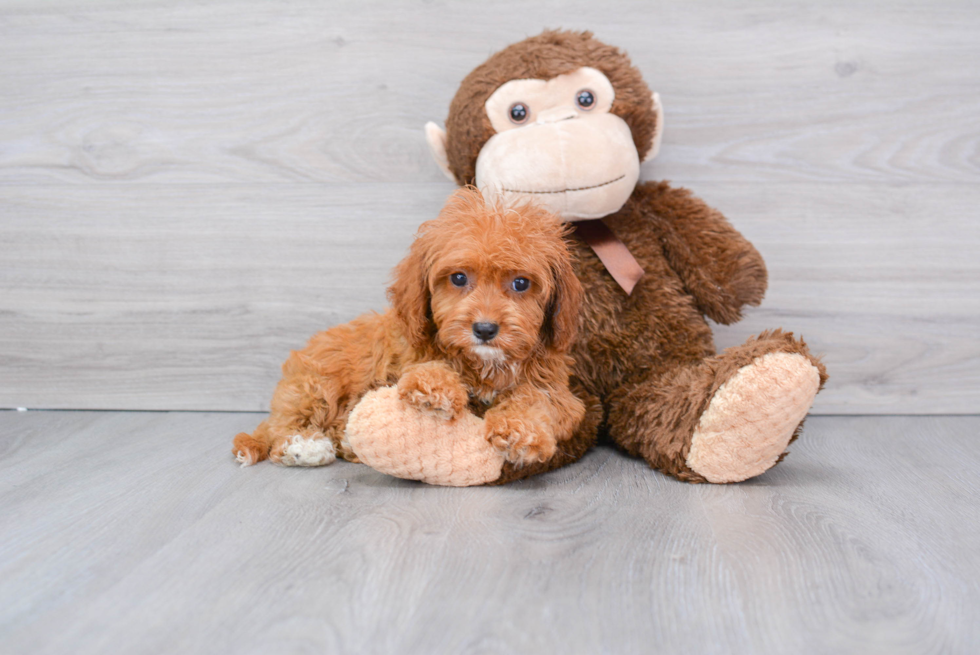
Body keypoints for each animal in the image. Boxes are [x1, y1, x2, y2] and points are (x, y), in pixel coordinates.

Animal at [234, 188, 584, 472]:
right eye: (458, 278)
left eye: (521, 283)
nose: (484, 329)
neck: (483, 363)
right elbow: (428, 369)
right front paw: (436, 388)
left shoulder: (556, 390)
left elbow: (538, 399)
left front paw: (520, 430)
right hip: (315, 384)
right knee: (281, 429)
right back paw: (304, 447)